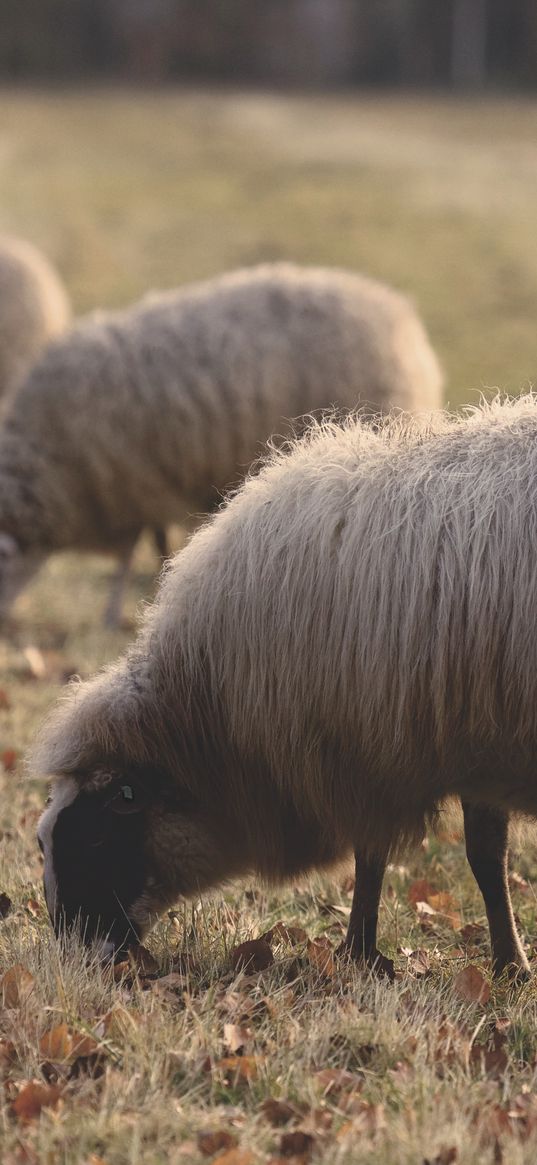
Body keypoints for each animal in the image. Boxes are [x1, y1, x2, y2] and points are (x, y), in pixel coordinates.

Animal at [0, 262, 440, 629]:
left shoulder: (130, 485)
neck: (49, 455)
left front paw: (115, 612)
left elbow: (129, 555)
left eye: (2, 560)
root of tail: (400, 314)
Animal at [34, 396, 535, 978]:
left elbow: (416, 855)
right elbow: (455, 853)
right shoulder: (456, 741)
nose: (73, 959)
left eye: (94, 834)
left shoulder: (380, 747)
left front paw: (371, 954)